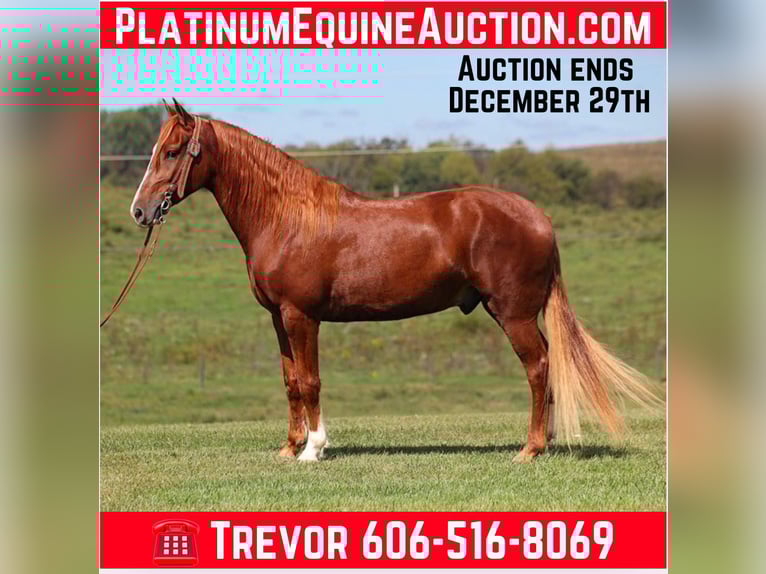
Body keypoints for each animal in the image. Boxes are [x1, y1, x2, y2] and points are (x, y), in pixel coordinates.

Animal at [128, 99, 660, 462]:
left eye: (172, 152)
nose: (140, 211)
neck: (288, 217)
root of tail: (538, 216)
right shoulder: (279, 319)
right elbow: (291, 382)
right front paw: (289, 446)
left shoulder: (302, 316)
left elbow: (312, 380)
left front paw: (313, 450)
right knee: (545, 367)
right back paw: (542, 443)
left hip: (513, 315)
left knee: (538, 366)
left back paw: (529, 450)